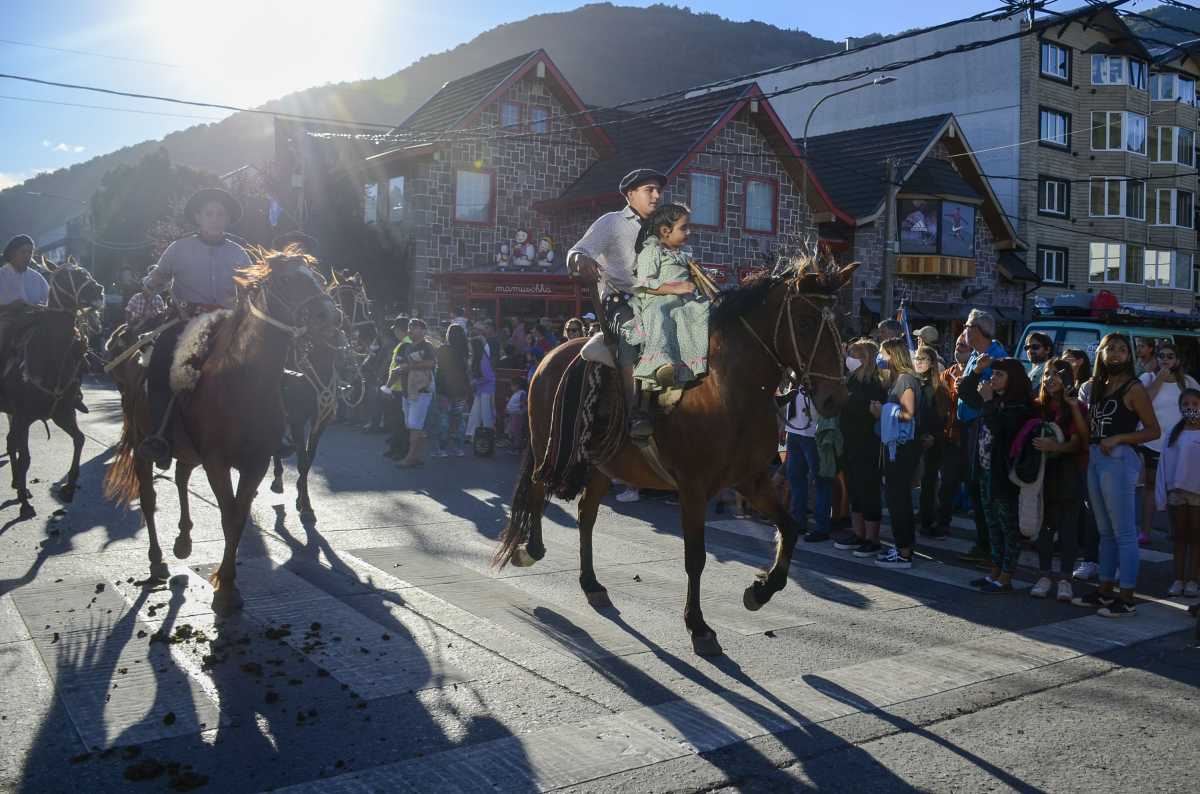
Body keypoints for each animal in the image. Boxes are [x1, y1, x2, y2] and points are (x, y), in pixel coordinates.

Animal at [0, 262, 104, 515]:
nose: (99, 291)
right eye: (67, 276)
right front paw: (25, 504)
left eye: (85, 271)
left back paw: (18, 483)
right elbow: (26, 457)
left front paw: (69, 488)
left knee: (10, 441)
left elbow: (80, 439)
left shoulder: (63, 412)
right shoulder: (23, 417)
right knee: (13, 442)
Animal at [105, 251, 338, 611]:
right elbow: (228, 515)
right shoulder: (217, 462)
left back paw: (184, 540)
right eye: (287, 280)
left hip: (188, 450)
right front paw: (225, 591)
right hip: (143, 443)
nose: (330, 315)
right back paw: (157, 561)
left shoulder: (256, 463)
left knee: (182, 477)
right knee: (148, 498)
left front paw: (227, 583)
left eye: (317, 276)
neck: (244, 381)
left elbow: (238, 518)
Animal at [492, 263, 859, 657]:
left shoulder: (752, 480)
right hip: (550, 446)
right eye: (804, 323)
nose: (836, 398)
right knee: (537, 489)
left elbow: (789, 529)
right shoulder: (693, 489)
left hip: (605, 463)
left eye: (841, 323)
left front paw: (759, 591)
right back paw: (531, 550)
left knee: (585, 515)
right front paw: (698, 626)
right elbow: (695, 557)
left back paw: (590, 583)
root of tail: (553, 354)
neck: (727, 392)